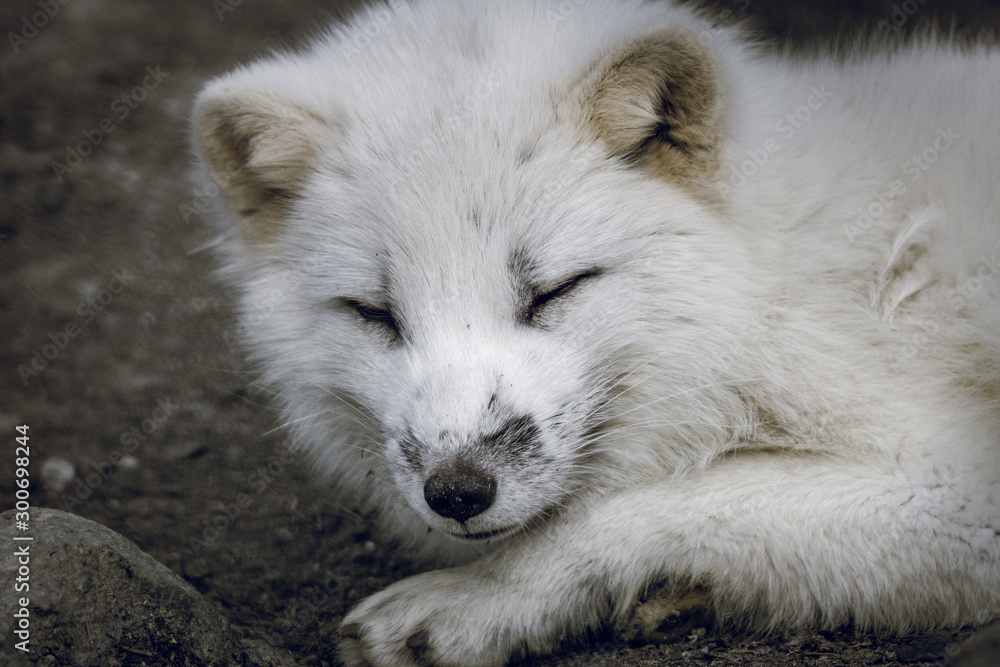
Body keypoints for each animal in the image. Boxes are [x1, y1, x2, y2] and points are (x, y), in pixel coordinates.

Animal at [191, 0, 1000, 665]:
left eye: (555, 290)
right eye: (374, 312)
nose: (457, 491)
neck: (770, 284)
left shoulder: (960, 490)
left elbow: (651, 502)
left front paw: (480, 596)